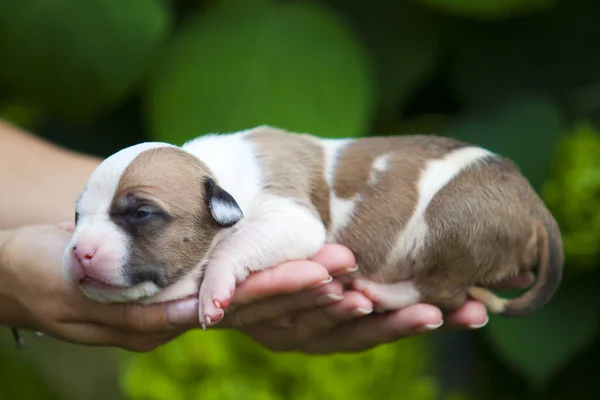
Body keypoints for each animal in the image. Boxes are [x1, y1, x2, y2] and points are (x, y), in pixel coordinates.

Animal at [61, 125, 564, 328]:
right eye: (77, 215)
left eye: (141, 214)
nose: (79, 252)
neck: (216, 170)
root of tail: (535, 204)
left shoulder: (293, 218)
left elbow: (233, 247)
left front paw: (214, 289)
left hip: (455, 228)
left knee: (443, 290)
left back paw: (382, 292)